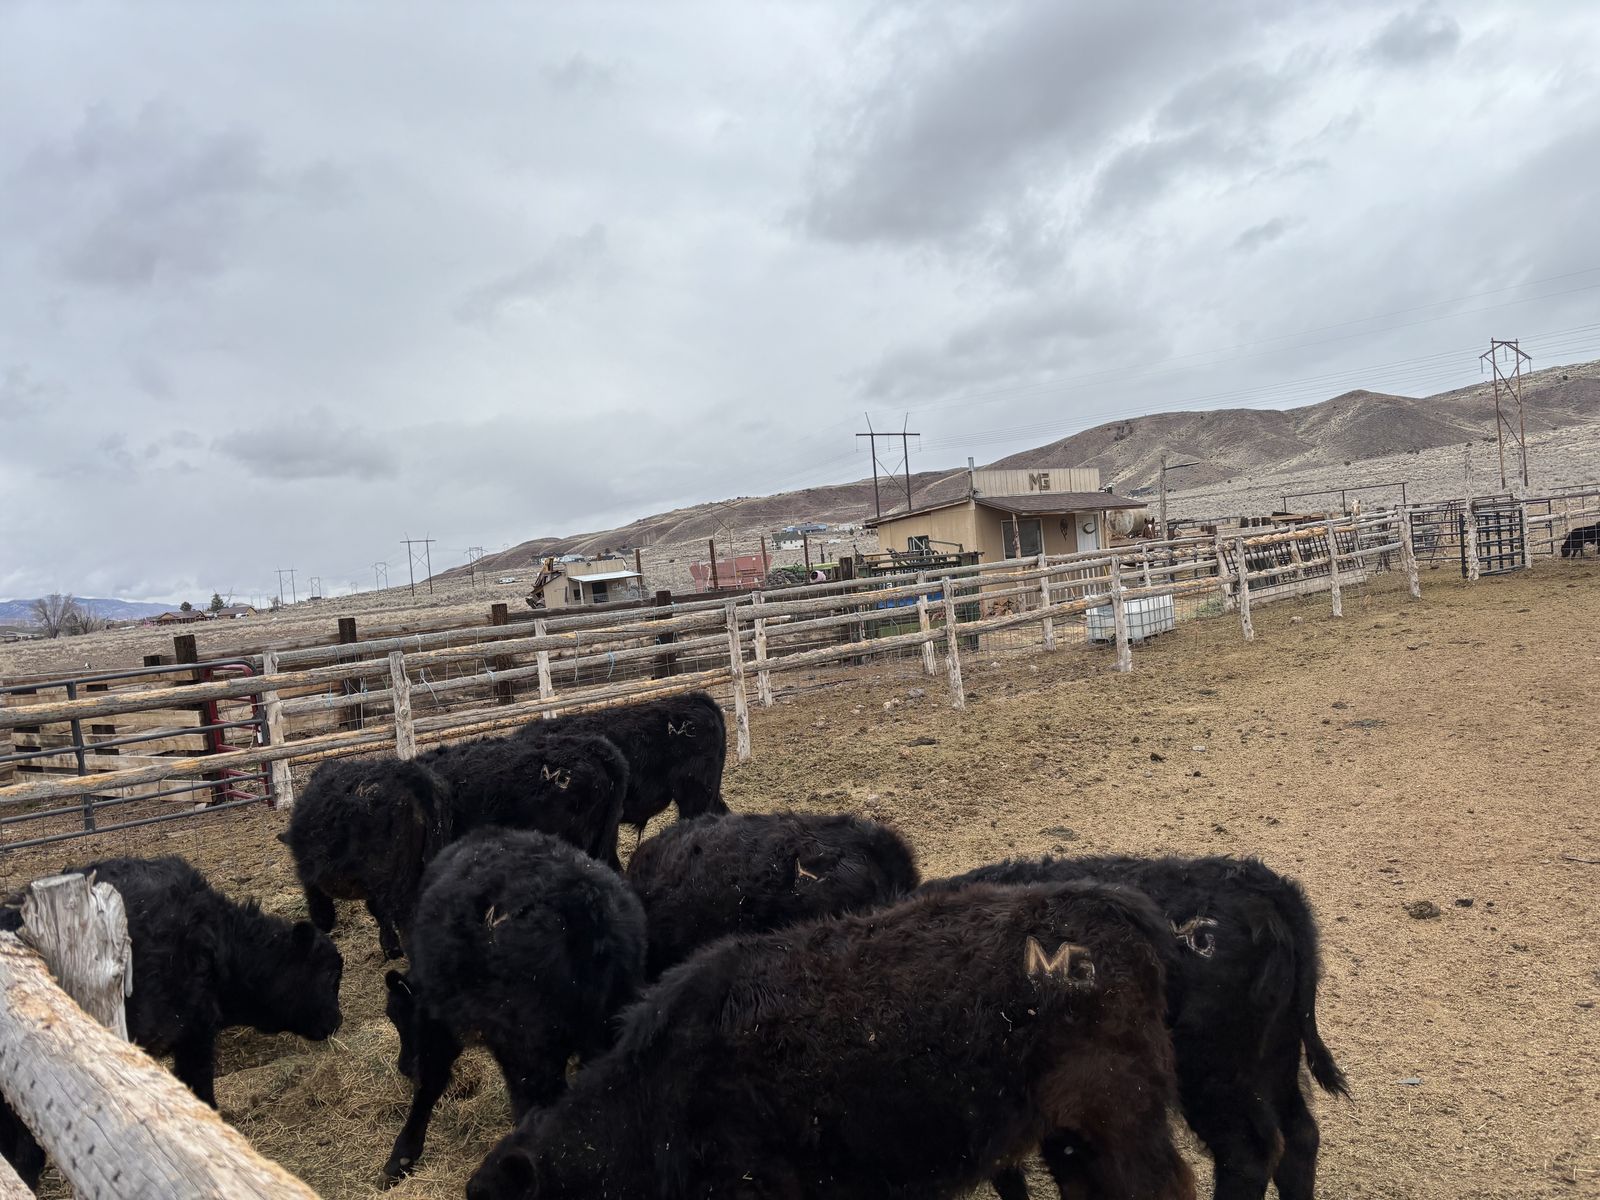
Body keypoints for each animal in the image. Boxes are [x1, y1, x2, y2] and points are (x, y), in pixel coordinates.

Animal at [380, 828, 646, 1186]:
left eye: (397, 1016)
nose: (403, 1066)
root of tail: (587, 908)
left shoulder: (438, 1022)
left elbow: (431, 1081)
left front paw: (402, 1155)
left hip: (529, 1055)